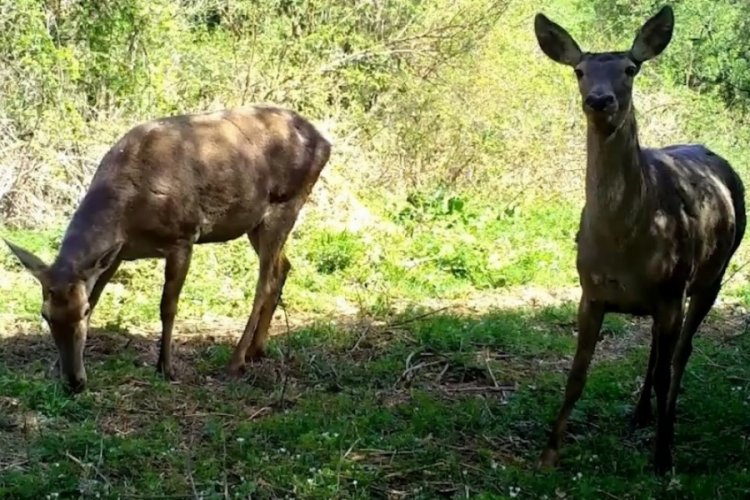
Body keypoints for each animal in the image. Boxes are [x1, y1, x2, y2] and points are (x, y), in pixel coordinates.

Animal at [2, 105, 330, 392]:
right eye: (45, 314)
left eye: (80, 312)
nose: (73, 383)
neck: (128, 214)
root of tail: (325, 141)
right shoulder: (116, 254)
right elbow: (97, 295)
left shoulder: (182, 237)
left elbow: (167, 306)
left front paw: (165, 367)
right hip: (255, 223)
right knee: (283, 266)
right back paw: (256, 349)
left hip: (287, 202)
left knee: (264, 282)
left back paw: (237, 360)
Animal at [536, 6, 748, 476]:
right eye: (579, 70)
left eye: (630, 69)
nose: (600, 100)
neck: (624, 243)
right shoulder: (591, 291)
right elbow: (576, 374)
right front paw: (549, 453)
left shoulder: (672, 289)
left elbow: (669, 368)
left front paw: (663, 460)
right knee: (657, 349)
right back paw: (640, 414)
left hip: (713, 274)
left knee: (680, 354)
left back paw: (662, 422)